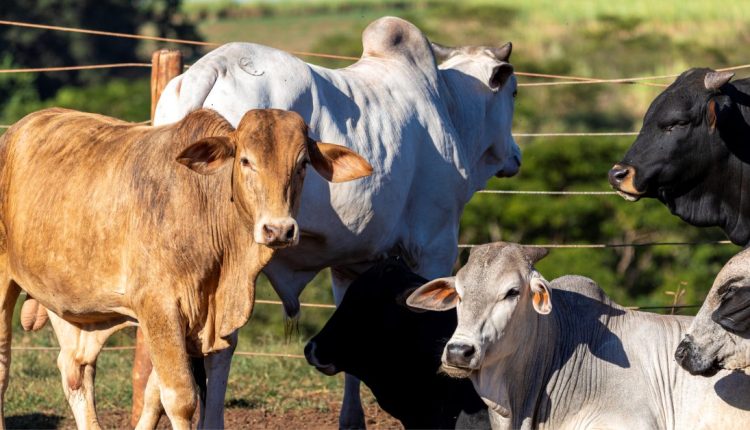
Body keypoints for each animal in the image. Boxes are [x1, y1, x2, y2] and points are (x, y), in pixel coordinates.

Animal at [0, 106, 370, 428]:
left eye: (302, 163)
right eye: (246, 160)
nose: (278, 230)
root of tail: (14, 132)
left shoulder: (219, 323)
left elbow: (187, 397)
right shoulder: (159, 309)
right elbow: (180, 398)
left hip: (72, 306)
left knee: (76, 370)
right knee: (5, 367)